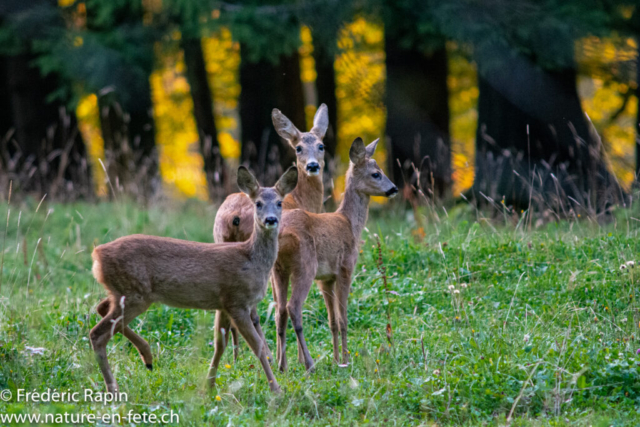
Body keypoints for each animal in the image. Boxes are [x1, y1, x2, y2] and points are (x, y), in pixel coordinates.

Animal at [90, 166, 300, 392]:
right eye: (258, 203)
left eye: (279, 203)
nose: (271, 220)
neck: (252, 260)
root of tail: (97, 255)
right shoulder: (237, 300)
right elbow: (257, 346)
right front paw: (276, 389)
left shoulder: (223, 303)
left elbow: (220, 344)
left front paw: (209, 386)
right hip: (135, 294)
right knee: (97, 333)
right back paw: (114, 388)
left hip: (123, 292)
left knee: (101, 308)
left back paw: (147, 357)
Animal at [215, 104, 330, 362]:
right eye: (298, 147)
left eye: (321, 145)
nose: (312, 166)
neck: (300, 199)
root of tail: (233, 216)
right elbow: (281, 304)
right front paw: (292, 358)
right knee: (254, 310)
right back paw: (264, 353)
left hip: (219, 239)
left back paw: (236, 357)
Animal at [274, 136, 398, 372]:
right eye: (375, 173)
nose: (394, 188)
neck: (350, 224)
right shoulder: (345, 269)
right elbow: (343, 320)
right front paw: (346, 359)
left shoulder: (326, 278)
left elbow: (332, 322)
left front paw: (335, 359)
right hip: (305, 266)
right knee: (293, 307)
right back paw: (309, 364)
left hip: (278, 271)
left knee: (280, 311)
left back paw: (282, 366)